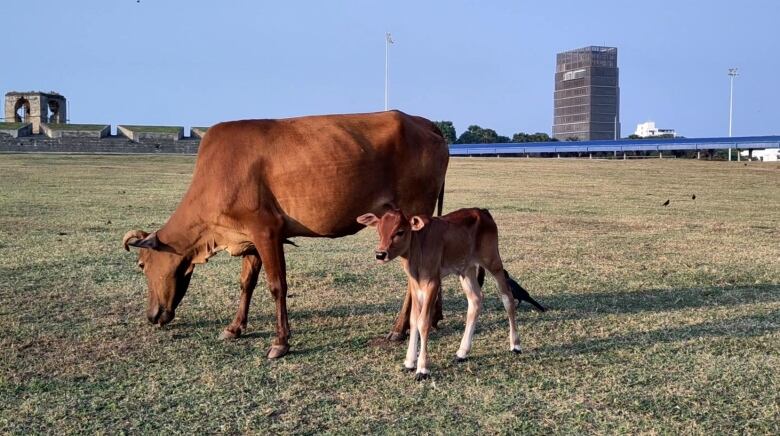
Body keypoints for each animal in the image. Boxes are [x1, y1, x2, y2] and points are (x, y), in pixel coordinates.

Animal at [124, 110, 448, 360]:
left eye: (142, 265)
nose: (152, 315)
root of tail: (423, 122)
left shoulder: (267, 230)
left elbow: (276, 286)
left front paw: (280, 342)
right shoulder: (251, 237)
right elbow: (246, 283)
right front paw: (235, 327)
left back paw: (398, 328)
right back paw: (424, 321)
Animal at [356, 206, 544, 380]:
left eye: (400, 231)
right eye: (379, 230)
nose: (380, 254)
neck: (418, 248)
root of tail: (483, 211)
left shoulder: (433, 281)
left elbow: (424, 322)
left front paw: (422, 369)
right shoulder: (415, 284)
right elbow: (413, 319)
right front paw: (409, 362)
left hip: (493, 262)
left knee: (508, 299)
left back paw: (515, 345)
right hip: (466, 269)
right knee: (475, 301)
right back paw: (462, 352)